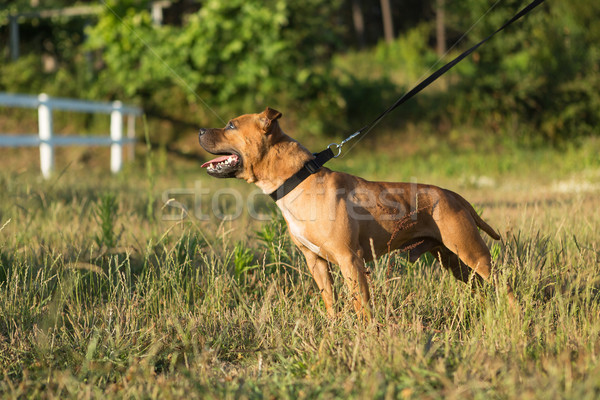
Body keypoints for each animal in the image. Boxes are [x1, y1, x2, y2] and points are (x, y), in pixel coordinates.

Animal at [198, 106, 516, 318]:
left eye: (230, 125)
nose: (199, 130)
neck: (298, 179)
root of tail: (456, 197)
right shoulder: (315, 262)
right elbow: (330, 301)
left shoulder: (350, 260)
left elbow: (361, 305)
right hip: (453, 260)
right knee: (480, 288)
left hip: (473, 253)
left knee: (503, 285)